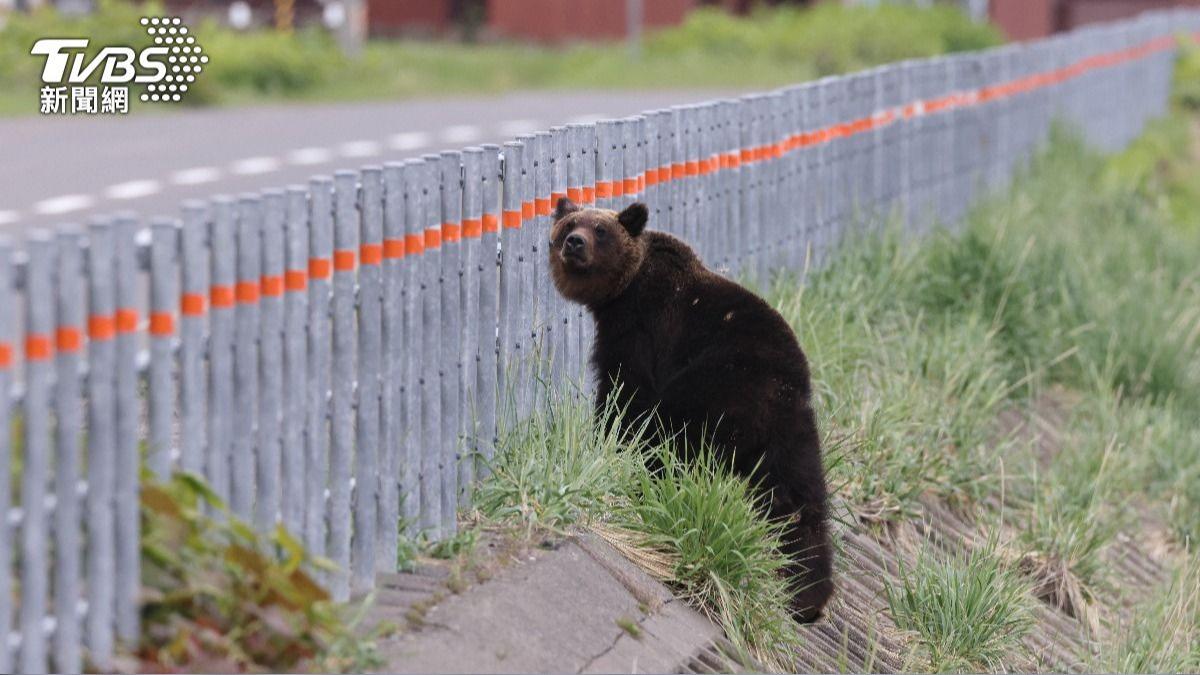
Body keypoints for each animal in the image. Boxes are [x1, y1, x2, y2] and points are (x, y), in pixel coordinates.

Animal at [548, 197, 834, 623]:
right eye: (569, 224)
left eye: (600, 230)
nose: (574, 243)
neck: (621, 292)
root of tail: (776, 397)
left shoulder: (642, 329)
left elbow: (624, 394)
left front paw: (605, 442)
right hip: (795, 436)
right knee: (802, 503)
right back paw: (806, 596)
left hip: (713, 392)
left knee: (671, 441)